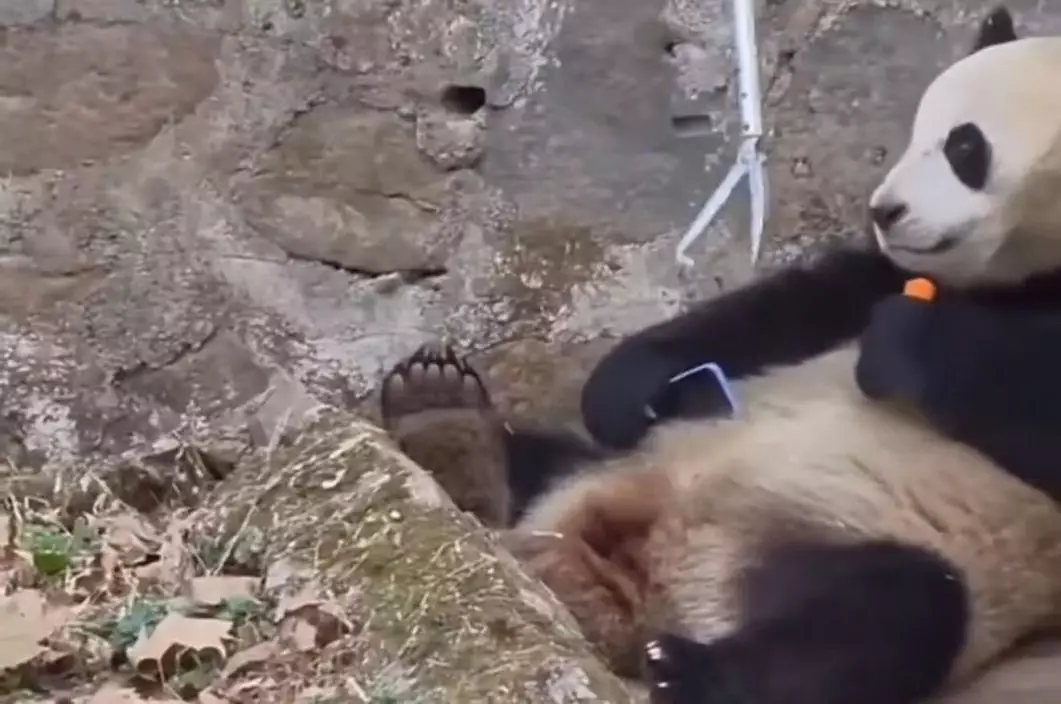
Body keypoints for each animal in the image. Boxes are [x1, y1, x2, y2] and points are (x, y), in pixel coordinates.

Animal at [379, 6, 1061, 704]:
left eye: (964, 148)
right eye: (917, 133)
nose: (885, 211)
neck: (1022, 276)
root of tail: (637, 583)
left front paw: (907, 340)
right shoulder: (878, 275)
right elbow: (786, 309)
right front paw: (621, 386)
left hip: (867, 540)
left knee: (886, 614)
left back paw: (691, 669)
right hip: (619, 466)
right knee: (543, 455)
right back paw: (444, 419)